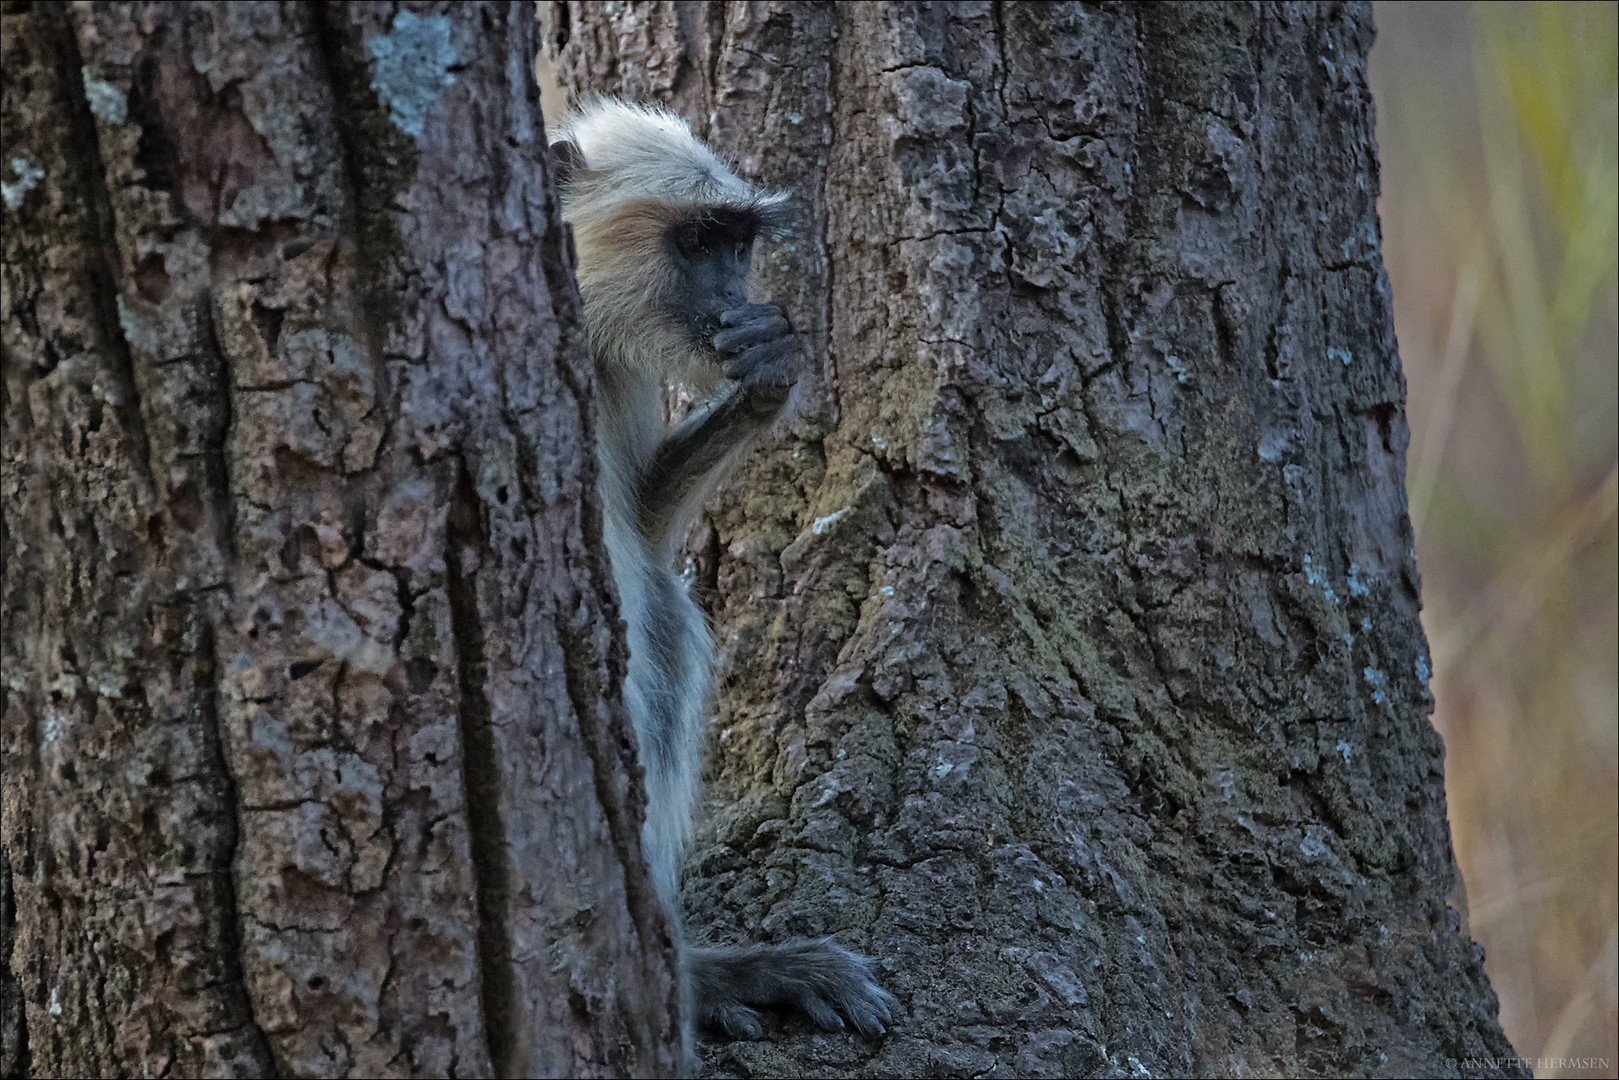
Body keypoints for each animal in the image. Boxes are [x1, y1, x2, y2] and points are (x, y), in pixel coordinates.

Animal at [550, 101, 893, 1049]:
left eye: (735, 246)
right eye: (698, 241)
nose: (733, 298)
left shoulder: (611, 364)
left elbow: (646, 531)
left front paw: (770, 369)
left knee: (664, 618)